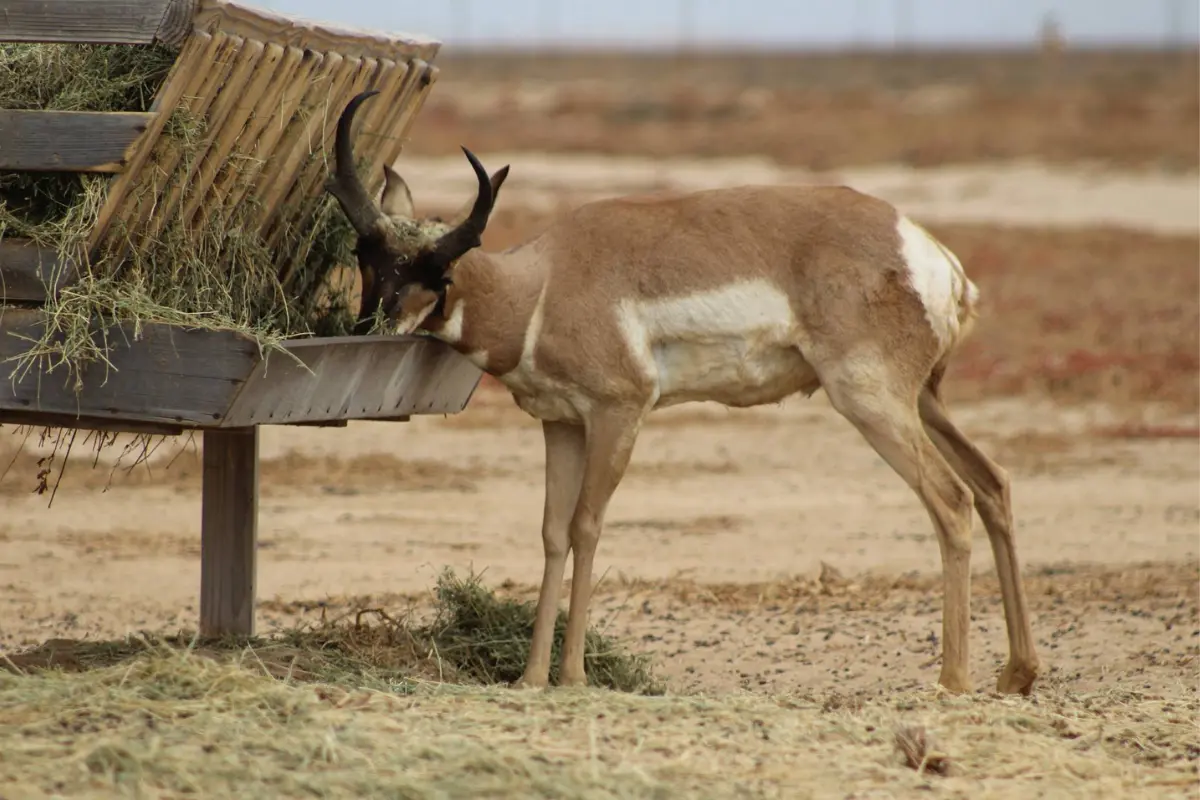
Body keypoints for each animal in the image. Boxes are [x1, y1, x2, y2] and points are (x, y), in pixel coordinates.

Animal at [326, 90, 1041, 695]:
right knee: (992, 484)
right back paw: (1017, 674)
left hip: (872, 403)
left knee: (950, 500)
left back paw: (953, 681)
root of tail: (929, 253)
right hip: (924, 401)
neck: (546, 282)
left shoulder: (620, 414)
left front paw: (573, 677)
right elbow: (553, 532)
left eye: (437, 270)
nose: (369, 330)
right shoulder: (562, 425)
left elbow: (587, 526)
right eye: (367, 254)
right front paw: (530, 678)